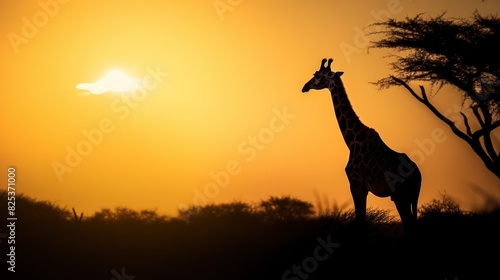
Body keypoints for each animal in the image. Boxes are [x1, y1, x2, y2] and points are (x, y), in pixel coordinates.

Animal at [300, 58, 422, 237]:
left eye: (316, 75)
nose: (305, 87)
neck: (352, 141)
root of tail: (417, 175)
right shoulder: (362, 187)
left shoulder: (356, 184)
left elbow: (360, 222)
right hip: (412, 197)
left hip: (401, 196)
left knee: (409, 226)